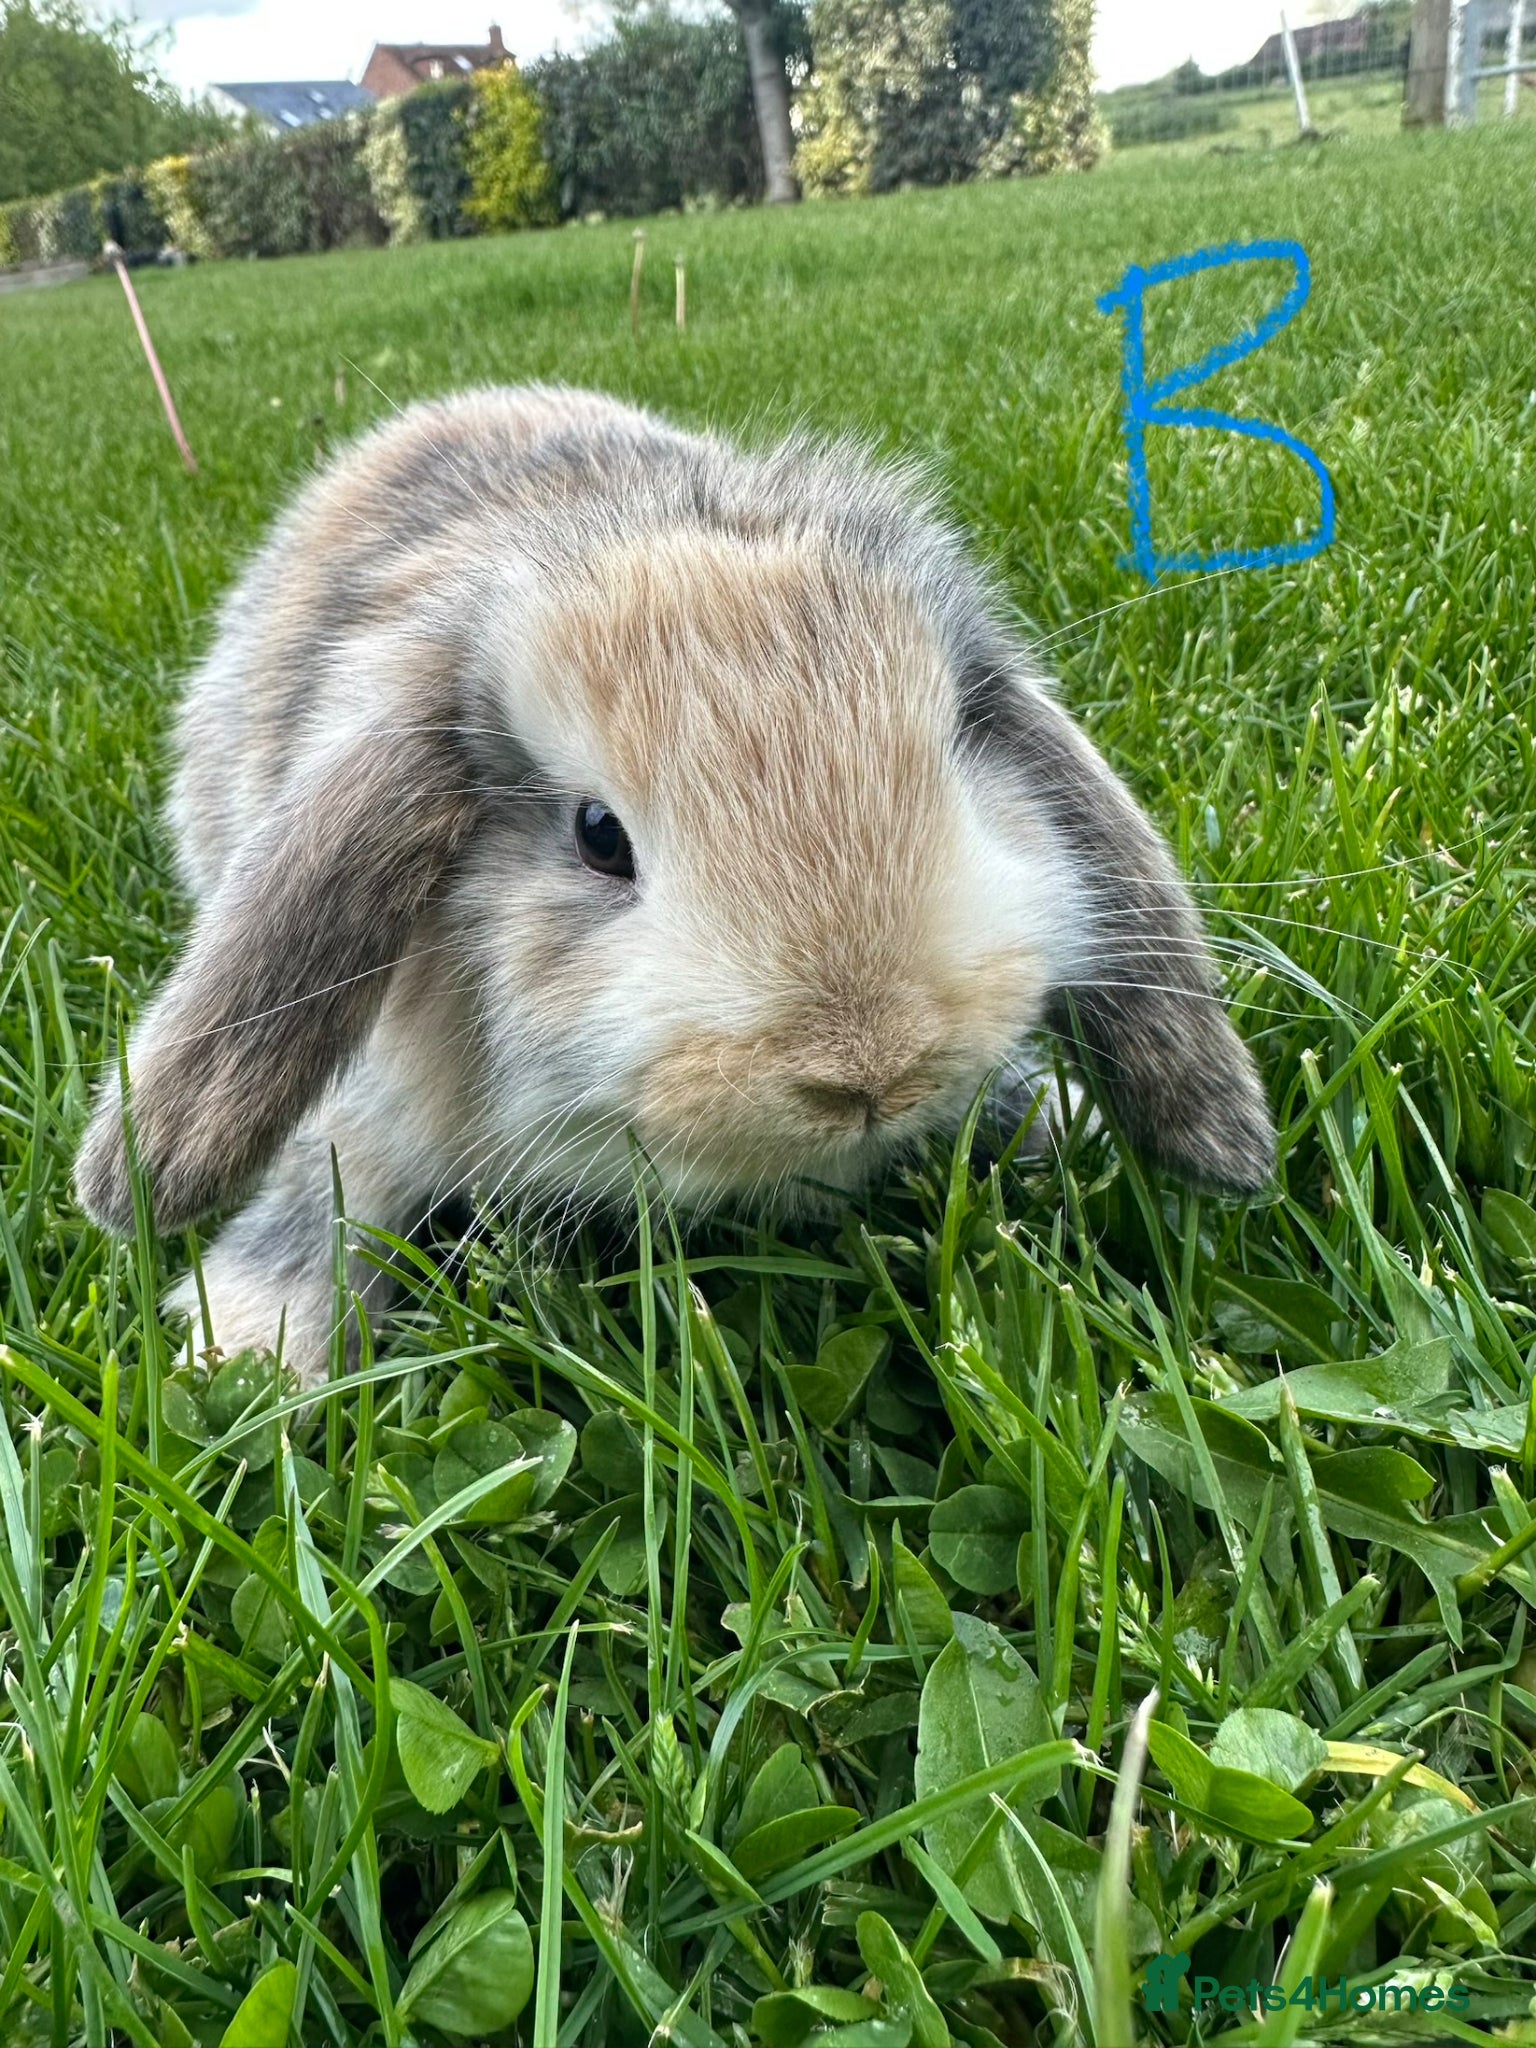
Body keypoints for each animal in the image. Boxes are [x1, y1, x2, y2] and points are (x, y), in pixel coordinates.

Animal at [75, 384, 1276, 1386]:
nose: (869, 1069)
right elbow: (329, 1194)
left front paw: (1054, 1120)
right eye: (600, 836)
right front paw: (247, 1345)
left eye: (951, 754)